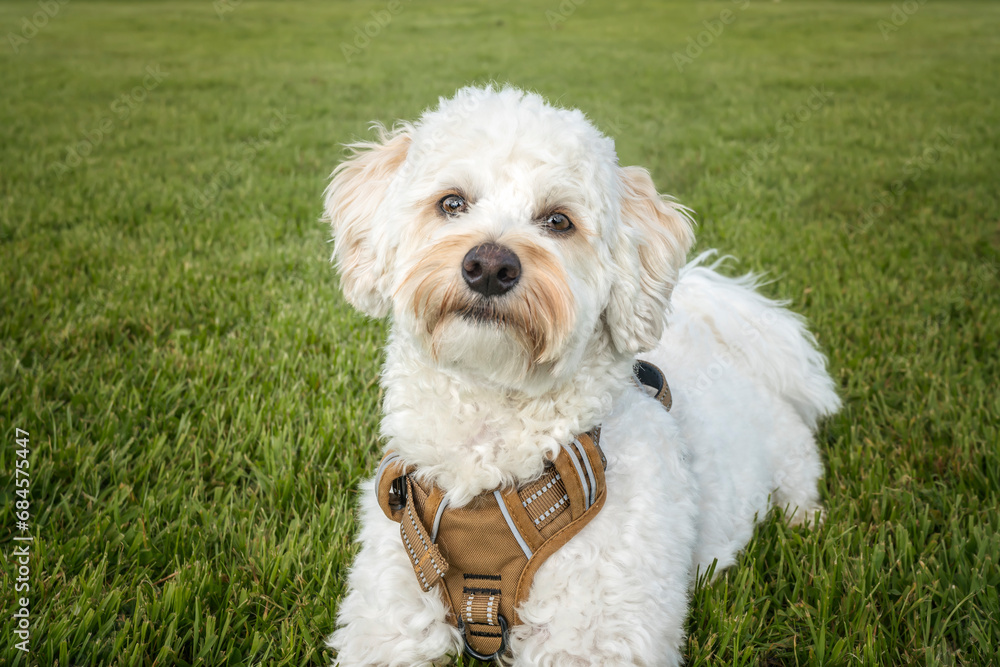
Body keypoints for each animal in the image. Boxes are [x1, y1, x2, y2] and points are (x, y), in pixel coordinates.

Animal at [324, 86, 840, 664]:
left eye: (558, 221)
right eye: (452, 203)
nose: (489, 266)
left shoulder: (594, 636)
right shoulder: (391, 611)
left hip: (790, 461)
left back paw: (806, 521)